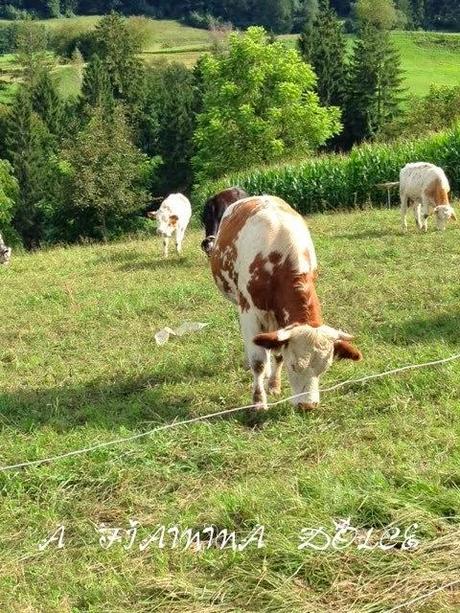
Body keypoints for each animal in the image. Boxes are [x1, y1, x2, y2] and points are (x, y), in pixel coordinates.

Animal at [209, 196, 362, 412]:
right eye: (294, 366)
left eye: (324, 369)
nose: (308, 406)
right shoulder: (249, 312)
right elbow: (258, 362)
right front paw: (258, 401)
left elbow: (278, 353)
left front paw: (274, 385)